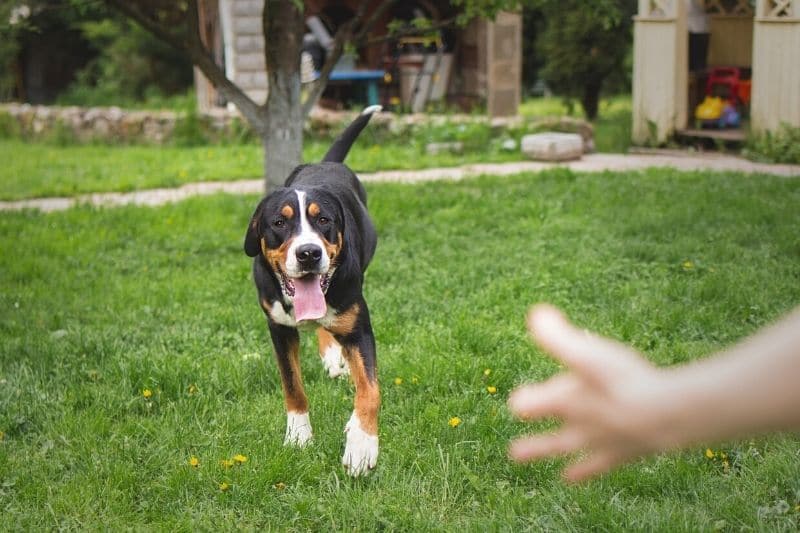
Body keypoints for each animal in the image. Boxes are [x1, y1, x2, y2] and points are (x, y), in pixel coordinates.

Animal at [244, 106, 382, 476]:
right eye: (279, 223)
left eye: (324, 221)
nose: (309, 253)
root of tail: (326, 163)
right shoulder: (278, 329)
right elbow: (292, 386)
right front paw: (298, 435)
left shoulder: (359, 327)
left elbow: (370, 390)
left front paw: (361, 444)